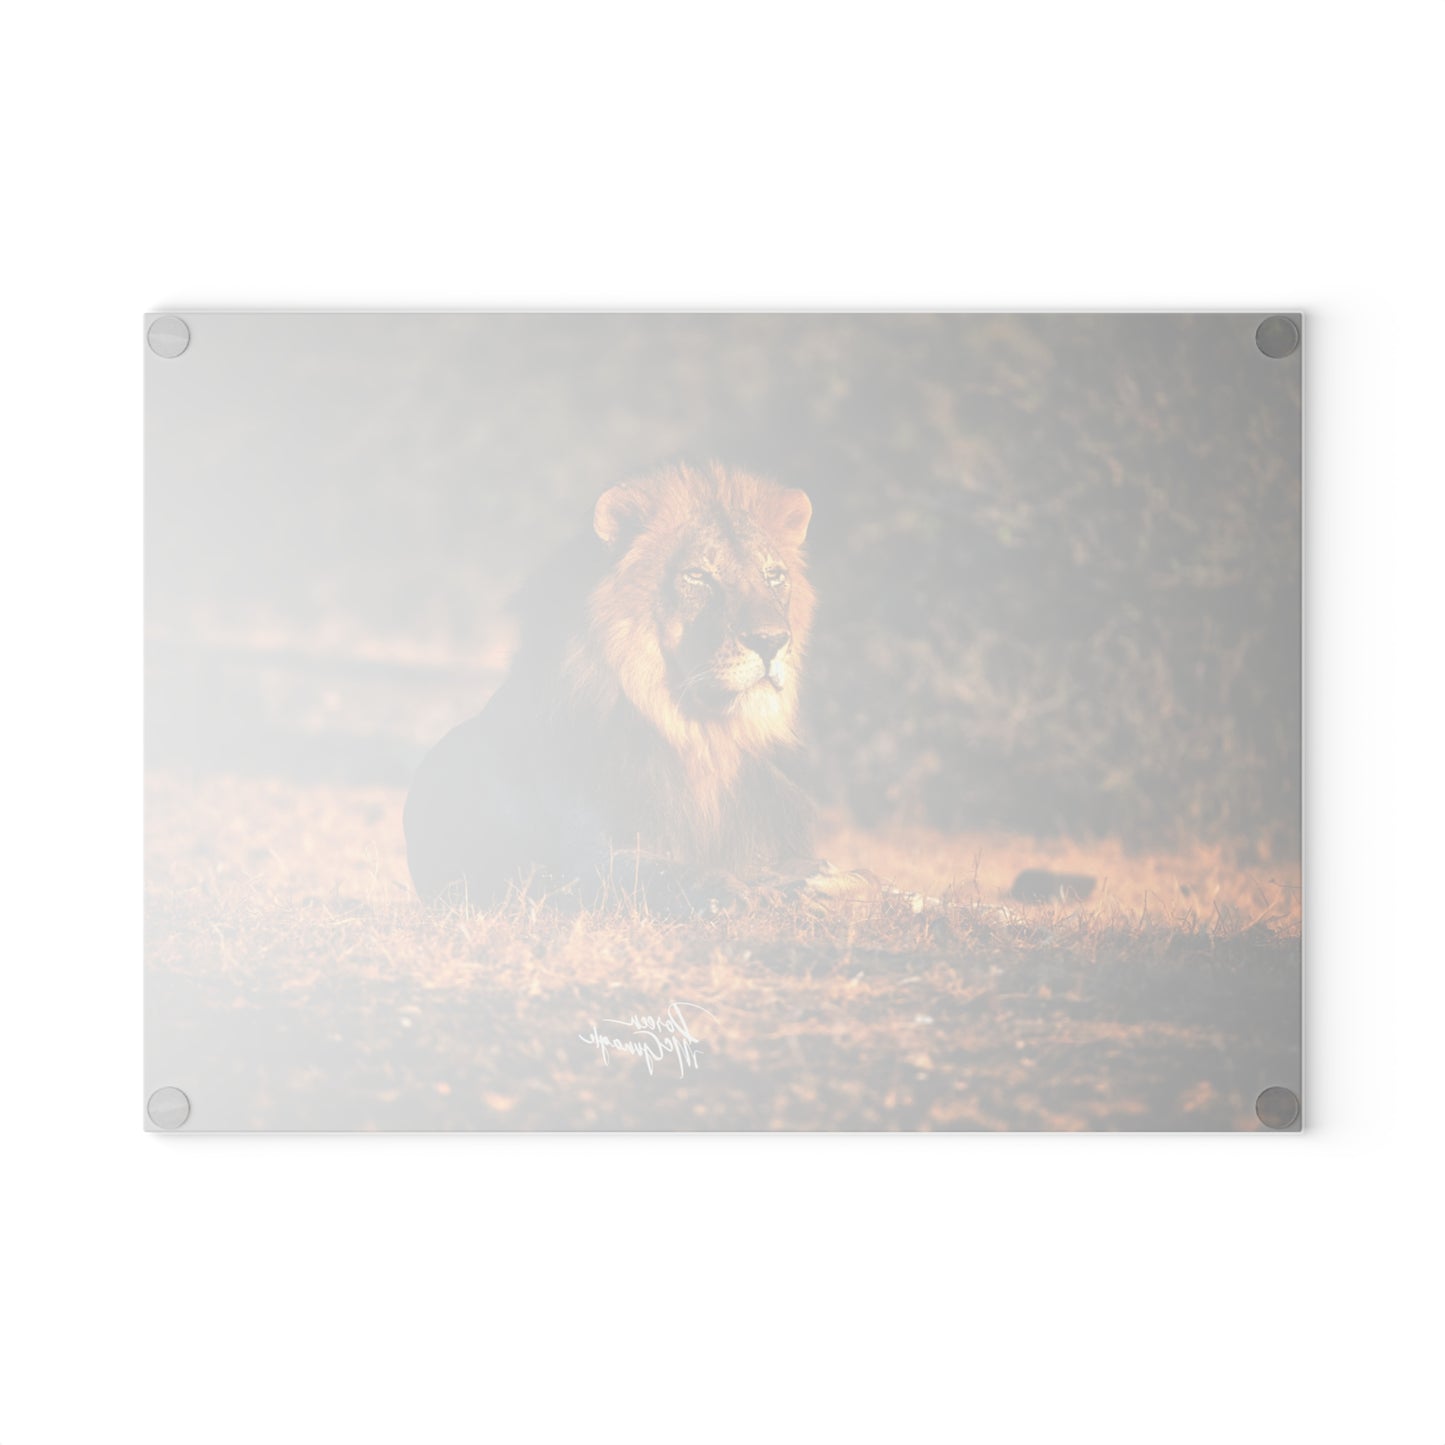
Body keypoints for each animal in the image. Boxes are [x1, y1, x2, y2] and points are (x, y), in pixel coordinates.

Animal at [404, 462, 862, 912]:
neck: (705, 739)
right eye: (698, 576)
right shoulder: (576, 862)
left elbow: (851, 873)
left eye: (774, 576)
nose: (771, 641)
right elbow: (661, 873)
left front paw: (828, 881)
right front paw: (733, 892)